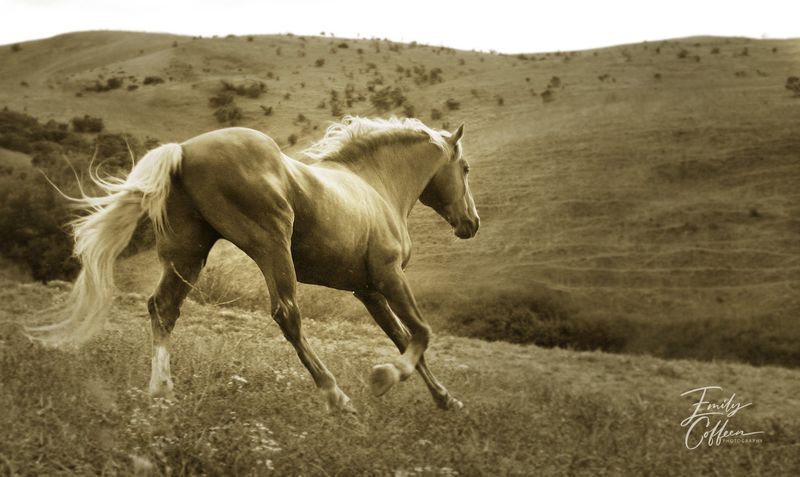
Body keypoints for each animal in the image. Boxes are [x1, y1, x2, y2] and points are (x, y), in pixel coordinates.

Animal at [27, 116, 479, 413]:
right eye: (465, 168)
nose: (471, 224)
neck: (373, 186)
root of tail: (184, 151)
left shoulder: (366, 291)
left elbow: (405, 340)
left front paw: (446, 399)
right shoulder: (388, 276)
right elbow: (421, 334)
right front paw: (384, 377)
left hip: (188, 255)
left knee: (163, 309)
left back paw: (161, 391)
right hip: (271, 247)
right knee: (287, 315)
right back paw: (335, 396)